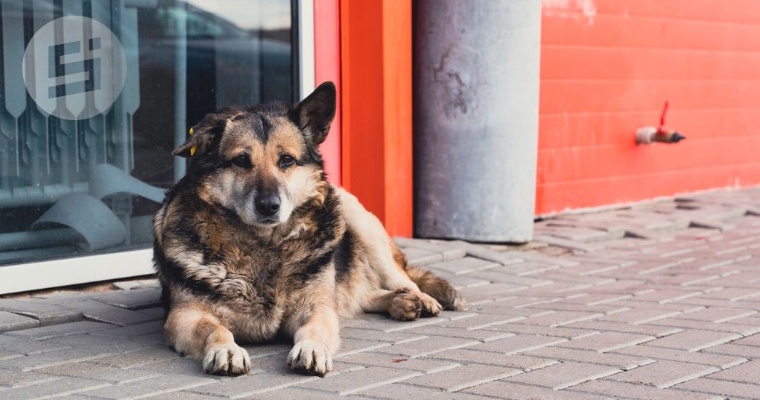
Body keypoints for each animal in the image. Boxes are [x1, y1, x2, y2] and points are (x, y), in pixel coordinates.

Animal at [151, 82, 464, 378]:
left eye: (287, 160)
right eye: (241, 160)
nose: (269, 206)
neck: (263, 245)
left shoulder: (316, 308)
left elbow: (314, 328)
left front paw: (311, 349)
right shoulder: (185, 315)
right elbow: (215, 329)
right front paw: (226, 350)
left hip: (359, 221)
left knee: (400, 279)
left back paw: (419, 298)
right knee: (359, 297)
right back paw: (397, 302)